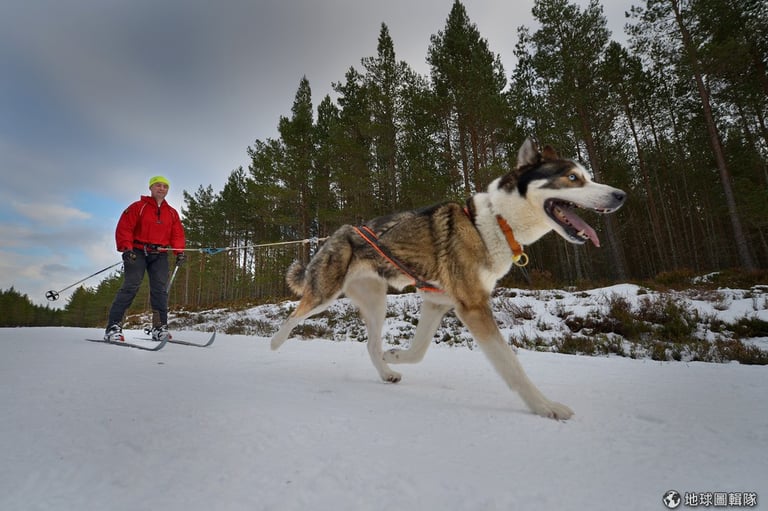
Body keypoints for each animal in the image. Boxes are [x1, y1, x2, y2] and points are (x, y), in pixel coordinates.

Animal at [270, 137, 624, 420]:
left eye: (586, 176)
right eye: (573, 177)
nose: (620, 194)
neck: (493, 223)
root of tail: (336, 234)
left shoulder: (437, 302)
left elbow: (419, 350)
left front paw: (395, 355)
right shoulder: (473, 306)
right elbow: (512, 365)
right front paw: (545, 406)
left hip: (376, 303)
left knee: (371, 345)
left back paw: (386, 369)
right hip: (325, 294)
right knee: (294, 314)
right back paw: (275, 342)